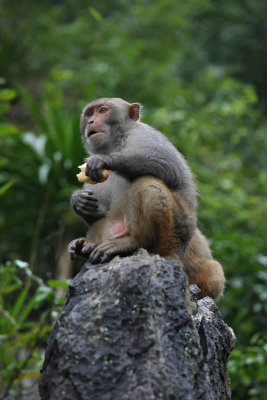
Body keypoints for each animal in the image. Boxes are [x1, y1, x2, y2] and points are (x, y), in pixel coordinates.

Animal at [68, 98, 225, 300]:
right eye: (89, 113)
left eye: (103, 110)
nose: (91, 121)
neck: (115, 144)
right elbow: (96, 212)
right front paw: (79, 201)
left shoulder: (144, 135)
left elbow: (168, 167)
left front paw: (106, 160)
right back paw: (85, 247)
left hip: (171, 236)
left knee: (148, 183)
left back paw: (135, 241)